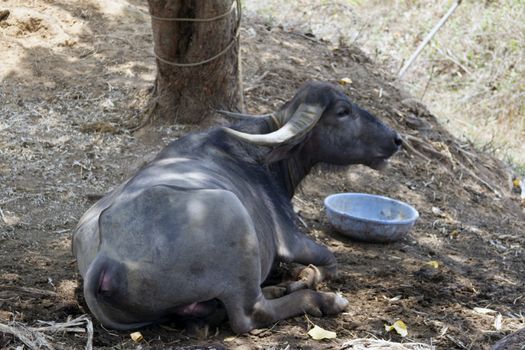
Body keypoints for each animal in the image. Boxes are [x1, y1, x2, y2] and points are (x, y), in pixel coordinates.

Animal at [72, 81, 402, 334]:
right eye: (343, 112)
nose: (396, 139)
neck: (261, 159)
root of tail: (106, 256)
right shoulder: (290, 240)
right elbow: (329, 262)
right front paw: (306, 279)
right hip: (234, 217)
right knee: (251, 314)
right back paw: (325, 301)